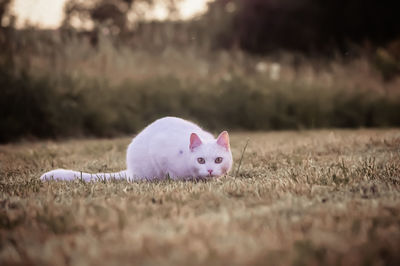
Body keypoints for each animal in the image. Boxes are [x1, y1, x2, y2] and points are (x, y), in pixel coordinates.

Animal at [39, 116, 234, 181]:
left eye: (218, 160)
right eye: (200, 160)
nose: (210, 170)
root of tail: (131, 170)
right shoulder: (160, 151)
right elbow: (172, 174)